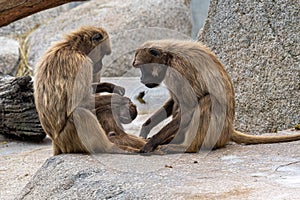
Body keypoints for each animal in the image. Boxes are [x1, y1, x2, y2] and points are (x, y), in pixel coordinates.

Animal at [34, 26, 130, 155]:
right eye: (103, 54)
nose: (101, 65)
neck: (73, 47)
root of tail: (56, 142)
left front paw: (110, 86)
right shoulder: (81, 63)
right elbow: (77, 104)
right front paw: (117, 99)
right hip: (68, 138)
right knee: (80, 113)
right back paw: (110, 147)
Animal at [132, 39, 300, 153]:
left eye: (142, 68)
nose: (141, 79)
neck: (169, 57)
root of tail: (229, 130)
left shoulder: (178, 71)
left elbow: (189, 108)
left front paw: (152, 142)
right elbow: (174, 101)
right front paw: (146, 128)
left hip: (217, 133)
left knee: (206, 101)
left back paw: (187, 147)